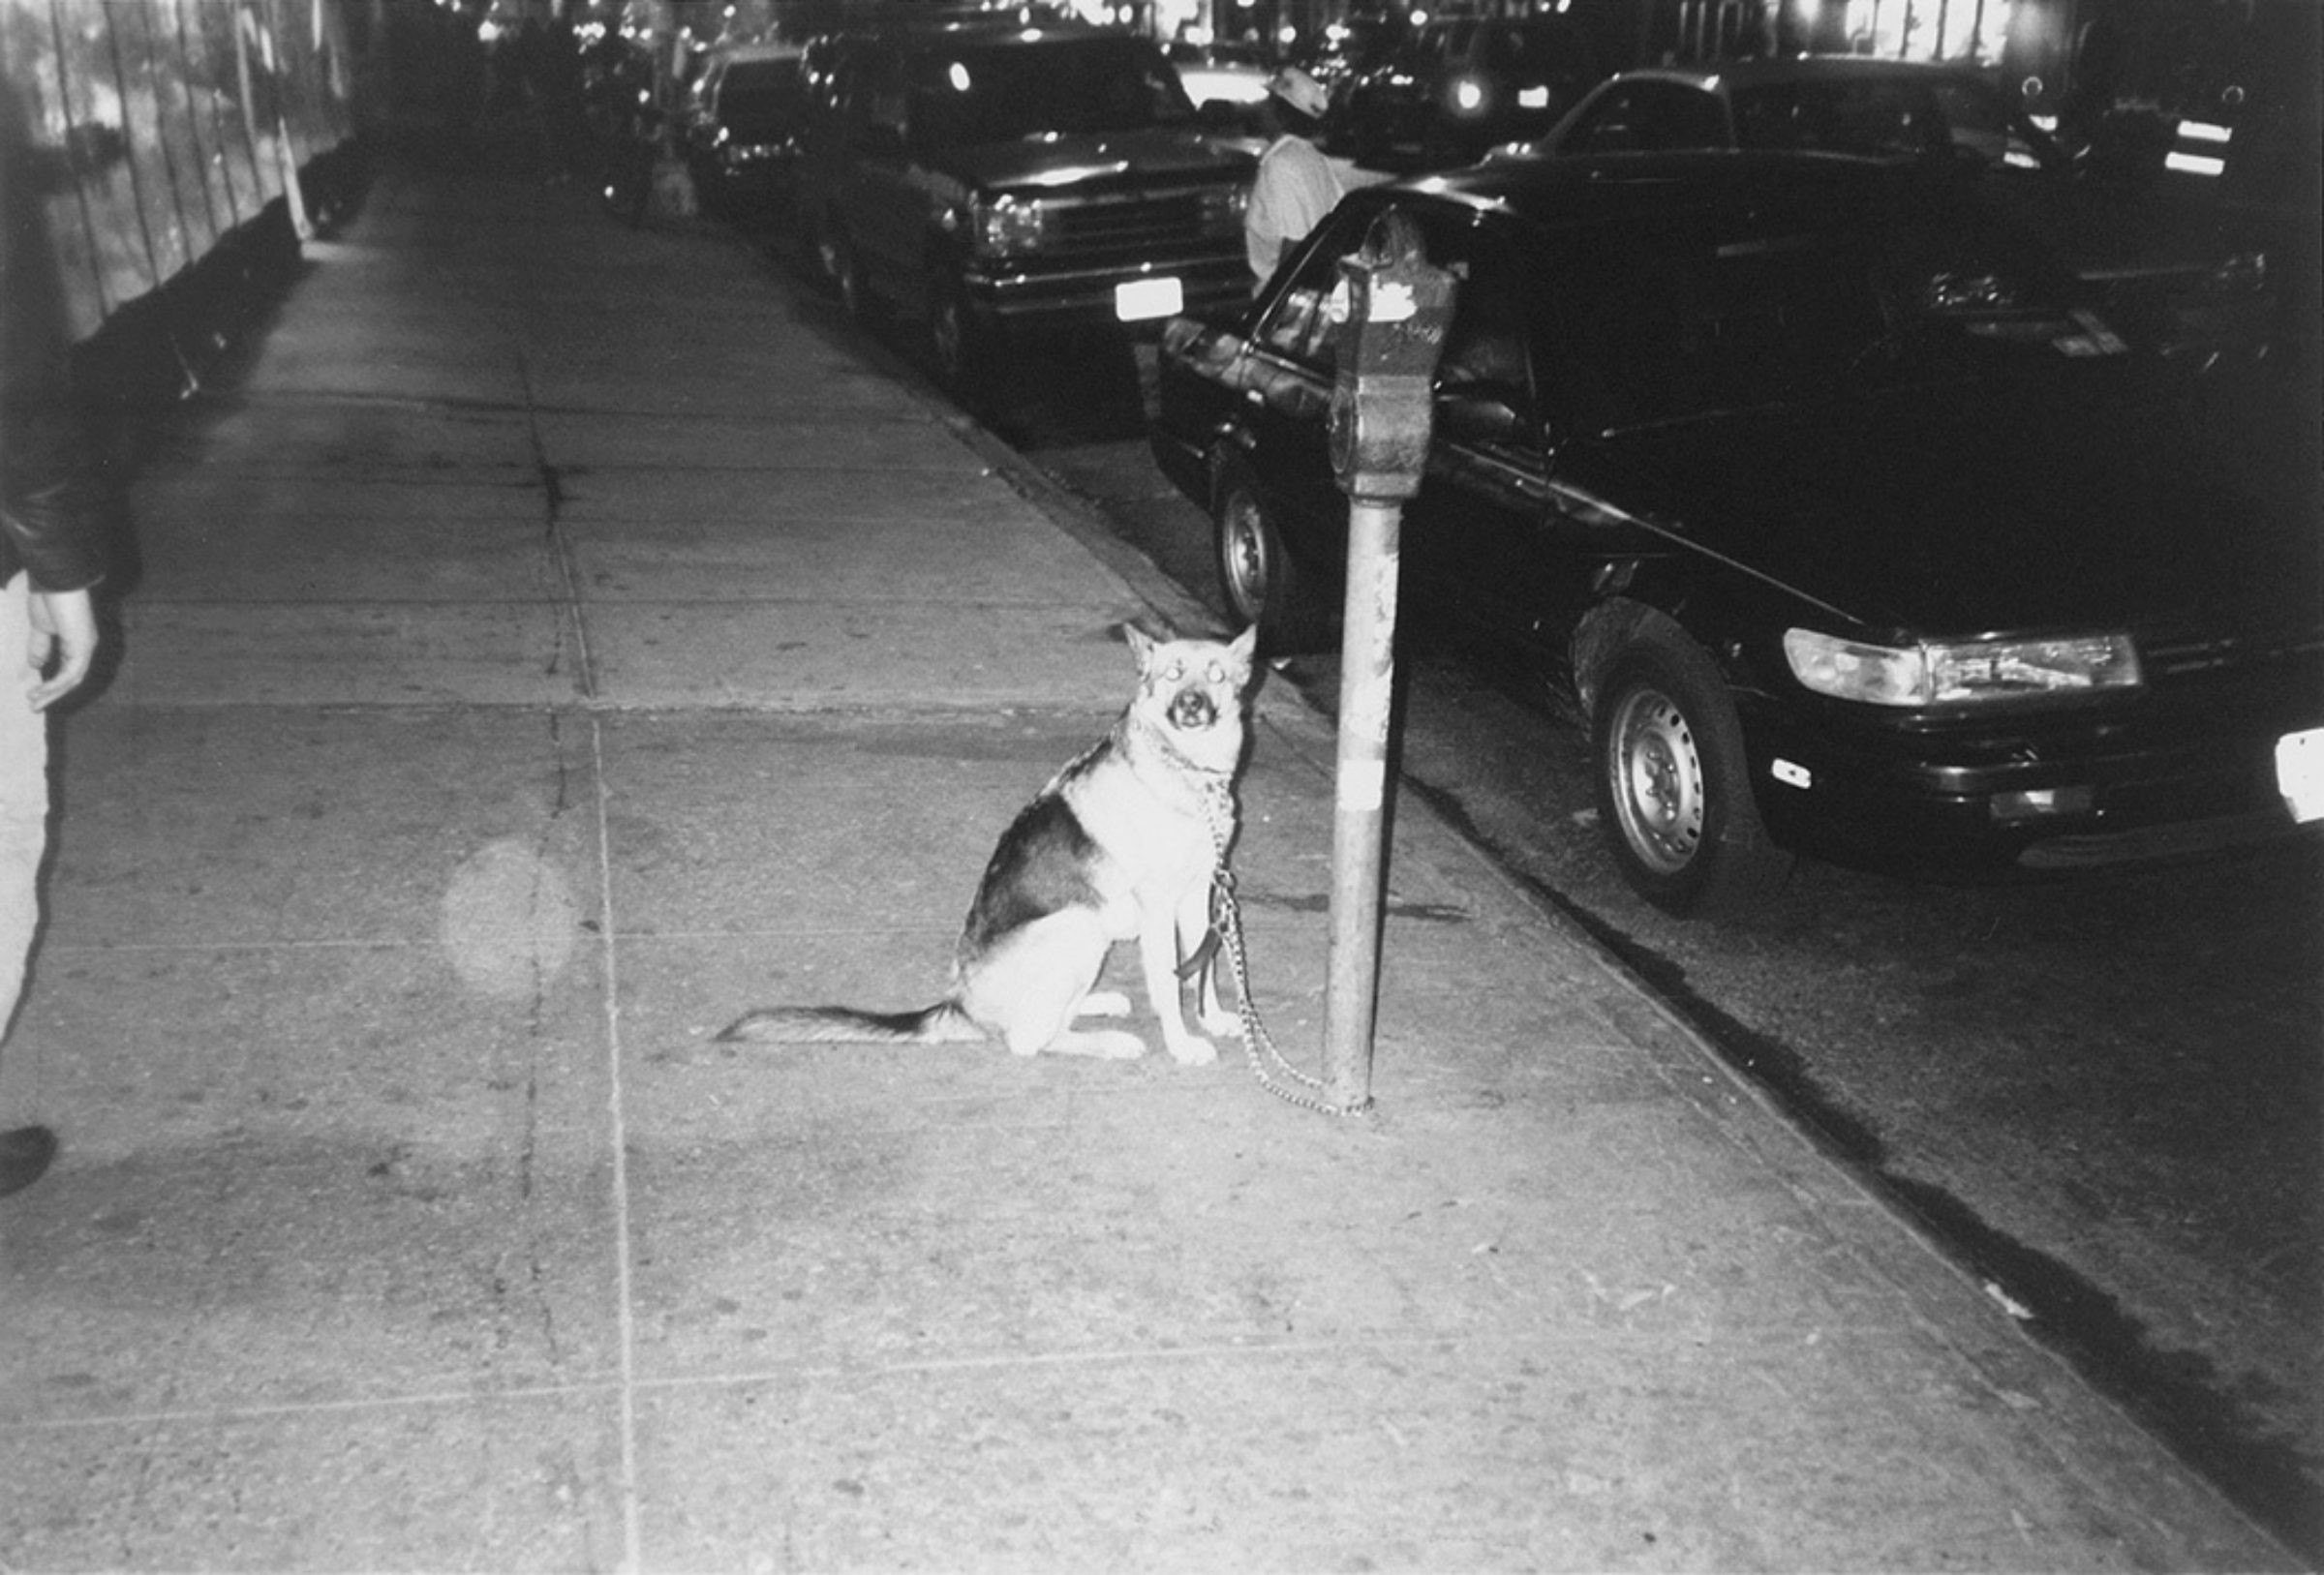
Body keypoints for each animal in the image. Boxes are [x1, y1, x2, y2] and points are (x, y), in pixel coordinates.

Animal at [716, 624, 1258, 1064]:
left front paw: (1210, 1019)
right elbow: (1169, 984)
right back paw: (1108, 1043)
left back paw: (1098, 1004)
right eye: (1173, 674)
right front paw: (1182, 1044)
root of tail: (959, 1005)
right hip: (1077, 927)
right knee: (1027, 1040)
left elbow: (1203, 970)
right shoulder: (1159, 906)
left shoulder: (1197, 894)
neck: (1187, 770)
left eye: (1216, 675)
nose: (1192, 704)